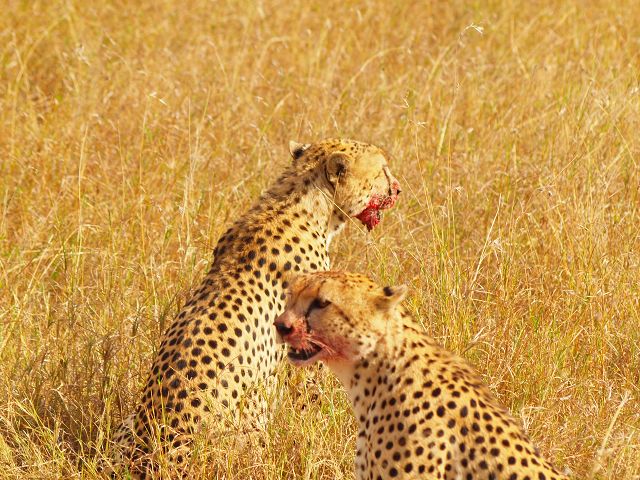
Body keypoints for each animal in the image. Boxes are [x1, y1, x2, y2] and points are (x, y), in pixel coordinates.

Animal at [110, 139, 401, 477]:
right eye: (382, 170)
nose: (398, 189)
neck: (298, 202)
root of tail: (151, 460)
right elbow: (309, 399)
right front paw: (312, 428)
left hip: (126, 426)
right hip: (250, 428)